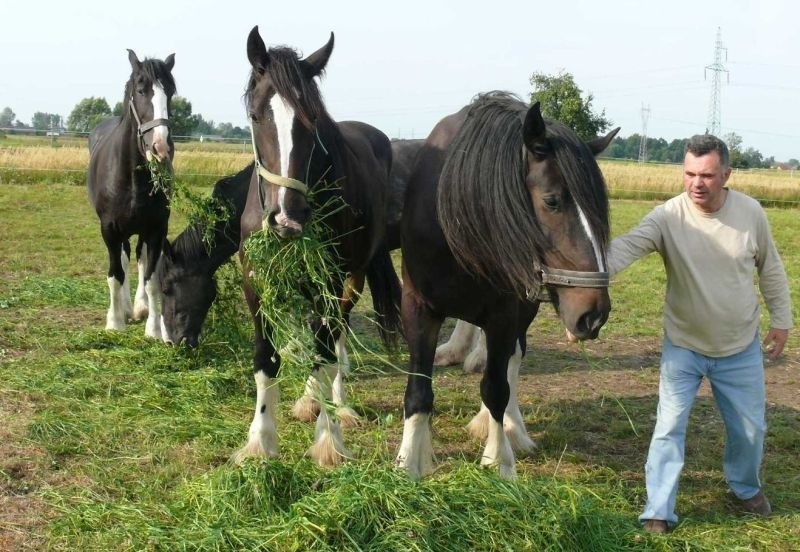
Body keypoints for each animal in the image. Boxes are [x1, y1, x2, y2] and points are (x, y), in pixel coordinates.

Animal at [86, 50, 176, 340]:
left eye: (171, 92)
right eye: (141, 89)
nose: (161, 148)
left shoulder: (157, 228)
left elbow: (151, 279)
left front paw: (154, 329)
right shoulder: (109, 229)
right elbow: (115, 274)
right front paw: (114, 323)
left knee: (139, 257)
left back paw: (140, 307)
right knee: (124, 259)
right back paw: (124, 308)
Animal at [234, 25, 404, 466]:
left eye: (314, 121)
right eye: (256, 116)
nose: (287, 219)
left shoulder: (330, 280)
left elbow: (326, 356)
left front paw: (329, 440)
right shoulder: (257, 283)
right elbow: (266, 360)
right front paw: (260, 441)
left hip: (350, 280)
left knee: (335, 338)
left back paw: (337, 405)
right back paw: (310, 400)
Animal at [398, 91, 620, 478]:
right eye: (551, 200)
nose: (593, 316)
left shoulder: (503, 315)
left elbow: (497, 388)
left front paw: (499, 459)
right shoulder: (418, 308)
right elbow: (418, 390)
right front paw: (409, 460)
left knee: (511, 366)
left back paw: (511, 429)